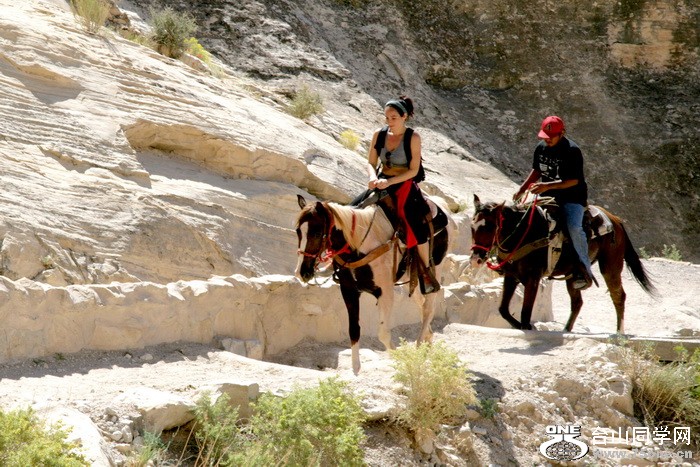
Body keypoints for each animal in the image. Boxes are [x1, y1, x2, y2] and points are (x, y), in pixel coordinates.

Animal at [294, 196, 454, 374]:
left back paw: (420, 346)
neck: (359, 246)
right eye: (298, 232)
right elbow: (354, 329)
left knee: (428, 308)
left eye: (316, 233)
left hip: (433, 272)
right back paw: (428, 339)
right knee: (421, 304)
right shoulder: (349, 290)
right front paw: (356, 367)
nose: (302, 272)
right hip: (411, 280)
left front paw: (401, 359)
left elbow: (383, 333)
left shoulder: (385, 292)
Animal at [470, 194, 656, 332]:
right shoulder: (511, 276)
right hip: (572, 275)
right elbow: (503, 310)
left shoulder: (533, 278)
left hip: (611, 266)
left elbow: (525, 312)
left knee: (618, 296)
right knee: (577, 302)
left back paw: (619, 333)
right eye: (472, 227)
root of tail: (615, 220)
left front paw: (528, 327)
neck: (524, 233)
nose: (476, 258)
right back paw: (566, 329)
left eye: (489, 226)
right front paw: (520, 326)